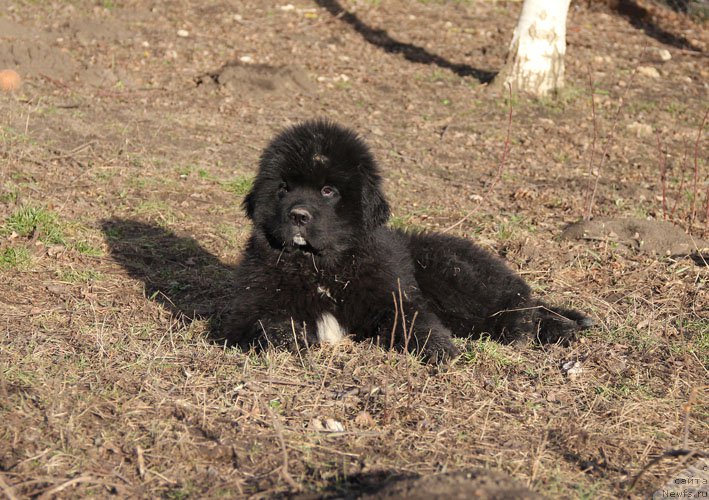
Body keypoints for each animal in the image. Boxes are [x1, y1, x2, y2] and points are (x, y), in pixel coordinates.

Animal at [223, 121, 592, 364]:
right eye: (283, 188)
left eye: (328, 191)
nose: (298, 215)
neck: (321, 269)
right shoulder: (247, 307)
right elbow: (266, 323)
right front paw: (291, 339)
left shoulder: (394, 294)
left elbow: (416, 321)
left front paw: (441, 351)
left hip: (450, 273)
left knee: (518, 302)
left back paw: (541, 328)